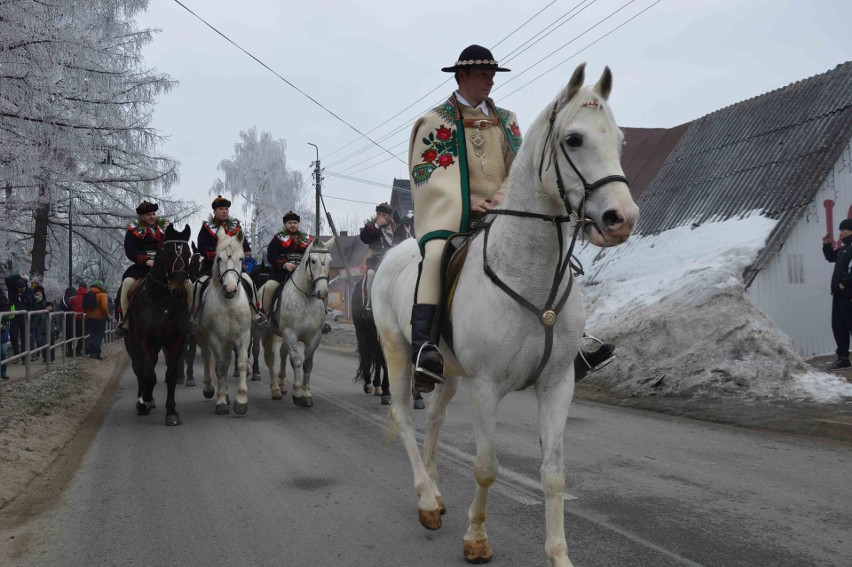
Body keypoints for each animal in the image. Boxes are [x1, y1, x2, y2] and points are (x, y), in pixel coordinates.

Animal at [125, 225, 191, 426]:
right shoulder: (146, 341)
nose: (178, 290)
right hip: (131, 344)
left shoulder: (176, 340)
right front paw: (144, 402)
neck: (163, 303)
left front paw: (171, 412)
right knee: (140, 369)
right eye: (166, 253)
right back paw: (143, 399)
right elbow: (148, 375)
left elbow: (171, 375)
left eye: (188, 254)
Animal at [198, 227, 251, 418]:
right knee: (207, 357)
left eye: (241, 258)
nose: (230, 289)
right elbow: (220, 367)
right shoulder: (215, 338)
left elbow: (241, 363)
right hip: (203, 338)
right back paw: (209, 388)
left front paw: (241, 401)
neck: (229, 305)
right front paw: (221, 402)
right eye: (219, 258)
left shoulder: (243, 336)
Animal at [260, 240, 332, 408]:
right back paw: (275, 389)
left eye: (330, 261)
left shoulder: (314, 337)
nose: (323, 292)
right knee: (270, 357)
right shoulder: (290, 334)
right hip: (267, 332)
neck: (306, 298)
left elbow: (308, 364)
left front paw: (306, 394)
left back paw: (282, 385)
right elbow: (297, 361)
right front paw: (298, 394)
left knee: (282, 353)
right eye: (313, 261)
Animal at [372, 64, 640, 564]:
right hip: (396, 351)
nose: (622, 218)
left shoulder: (557, 385)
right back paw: (425, 499)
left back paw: (435, 493)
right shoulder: (487, 387)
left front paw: (559, 555)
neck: (528, 271)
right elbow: (486, 467)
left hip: (447, 372)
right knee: (405, 417)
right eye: (574, 139)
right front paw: (476, 539)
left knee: (434, 421)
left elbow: (553, 474)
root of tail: (392, 254)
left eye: (620, 139)